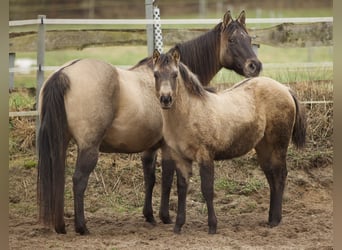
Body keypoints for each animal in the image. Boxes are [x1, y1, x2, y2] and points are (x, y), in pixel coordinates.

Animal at [38, 9, 262, 234]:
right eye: (232, 40)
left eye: (249, 38)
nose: (255, 66)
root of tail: (63, 74)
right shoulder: (168, 147)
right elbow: (167, 178)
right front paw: (165, 216)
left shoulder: (149, 147)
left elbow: (150, 178)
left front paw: (149, 215)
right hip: (89, 147)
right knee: (78, 180)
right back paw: (82, 227)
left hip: (60, 142)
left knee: (58, 177)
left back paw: (60, 226)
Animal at [152, 49, 308, 234]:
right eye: (155, 74)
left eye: (175, 74)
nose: (166, 99)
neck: (190, 112)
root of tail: (285, 88)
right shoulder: (180, 158)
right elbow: (182, 188)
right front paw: (178, 225)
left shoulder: (206, 156)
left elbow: (207, 189)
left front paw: (212, 226)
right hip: (263, 148)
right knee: (272, 177)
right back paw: (270, 218)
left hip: (279, 145)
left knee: (280, 175)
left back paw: (276, 220)